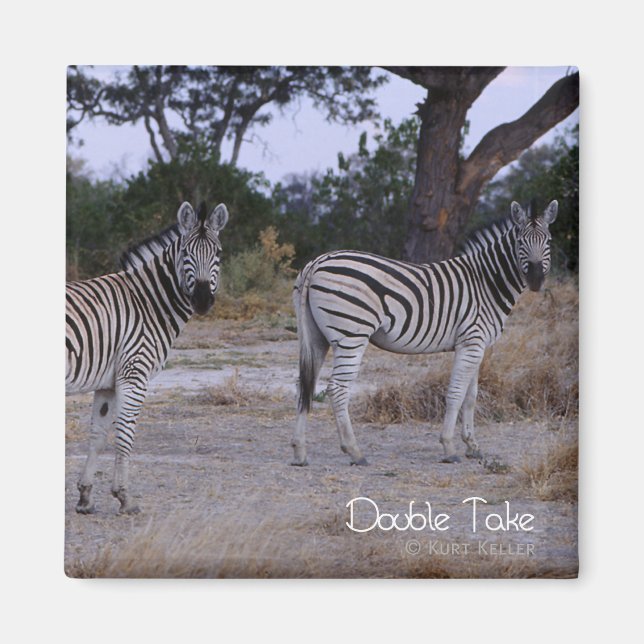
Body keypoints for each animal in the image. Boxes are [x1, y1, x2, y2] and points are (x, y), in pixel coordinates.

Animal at [66, 201, 229, 514]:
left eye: (218, 254)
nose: (202, 300)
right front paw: (124, 497)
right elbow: (125, 436)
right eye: (186, 254)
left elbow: (97, 435)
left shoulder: (108, 382)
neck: (148, 303)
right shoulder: (135, 374)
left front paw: (85, 497)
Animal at [291, 199, 558, 466]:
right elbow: (456, 394)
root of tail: (317, 262)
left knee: (306, 385)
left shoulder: (477, 345)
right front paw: (449, 447)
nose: (536, 279)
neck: (486, 283)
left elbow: (471, 396)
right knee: (337, 389)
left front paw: (472, 446)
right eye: (520, 242)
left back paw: (300, 452)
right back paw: (354, 451)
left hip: (316, 337)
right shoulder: (471, 342)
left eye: (548, 241)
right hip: (352, 335)